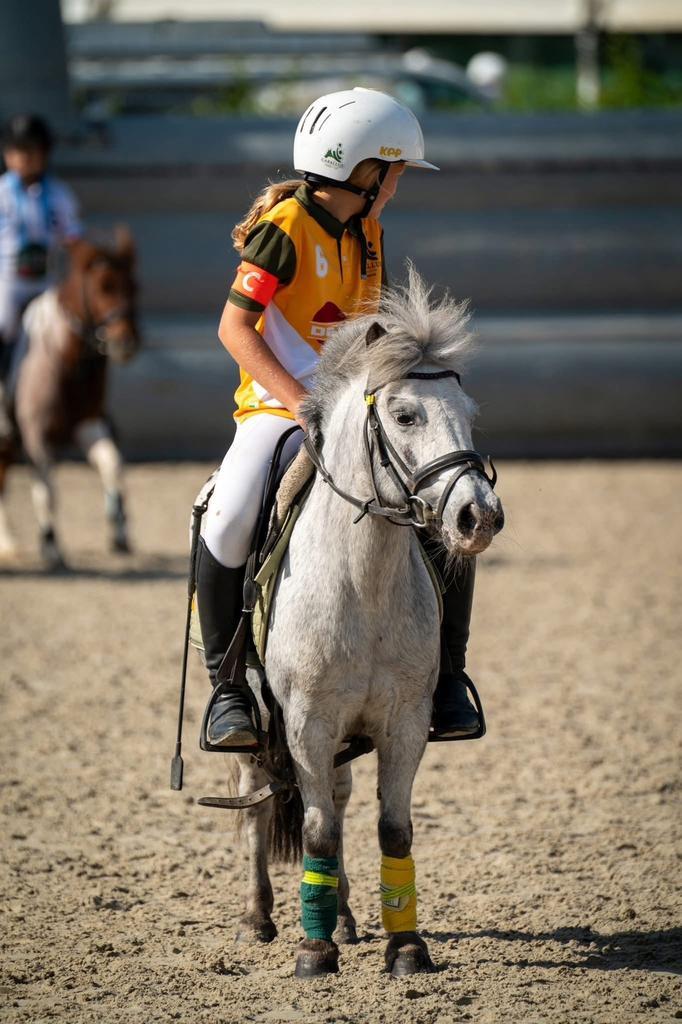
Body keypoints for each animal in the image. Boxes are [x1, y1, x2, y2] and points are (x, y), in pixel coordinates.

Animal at [0, 230, 140, 569]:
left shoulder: (88, 425)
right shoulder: (36, 436)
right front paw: (51, 546)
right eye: (104, 286)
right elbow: (46, 491)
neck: (66, 360)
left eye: (134, 287)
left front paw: (119, 532)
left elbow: (112, 465)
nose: (126, 342)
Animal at [222, 268, 504, 979]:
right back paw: (259, 920)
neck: (363, 583)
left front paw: (406, 946)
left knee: (341, 799)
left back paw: (346, 918)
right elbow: (316, 828)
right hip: (258, 732)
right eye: (406, 415)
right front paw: (312, 951)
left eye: (469, 414)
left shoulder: (402, 720)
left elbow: (391, 828)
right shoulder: (307, 721)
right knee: (257, 808)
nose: (479, 517)